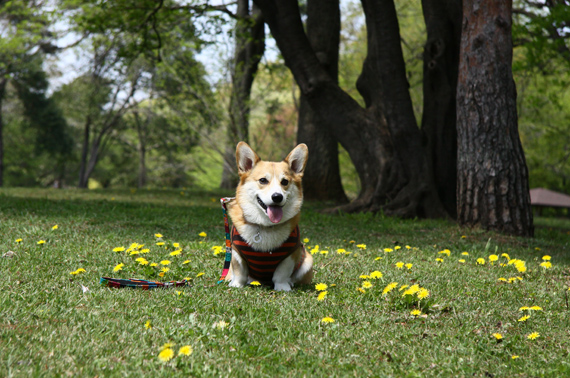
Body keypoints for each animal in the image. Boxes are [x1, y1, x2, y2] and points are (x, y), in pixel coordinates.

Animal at [224, 142, 310, 292]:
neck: (265, 225)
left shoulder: (290, 254)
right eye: (263, 180)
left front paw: (282, 287)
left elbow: (282, 274)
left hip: (308, 260)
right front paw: (237, 285)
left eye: (285, 182)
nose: (277, 197)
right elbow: (239, 270)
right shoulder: (236, 251)